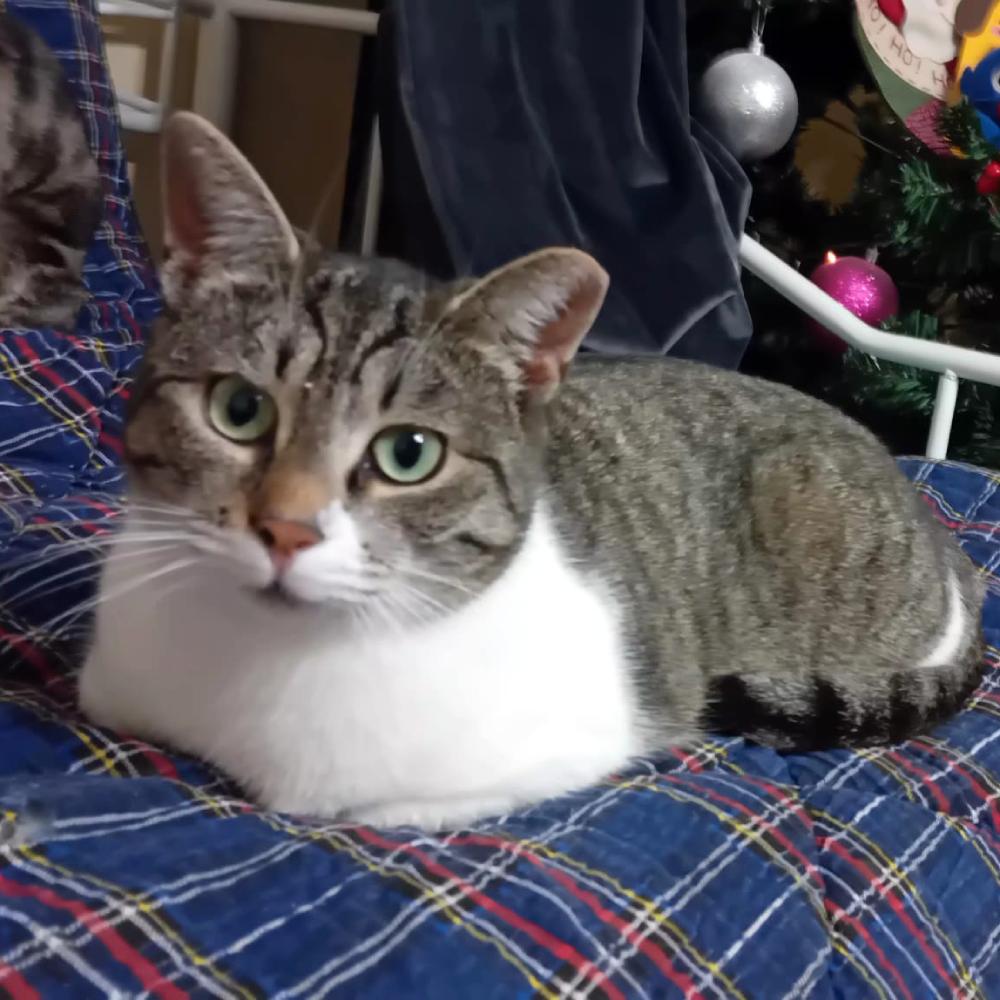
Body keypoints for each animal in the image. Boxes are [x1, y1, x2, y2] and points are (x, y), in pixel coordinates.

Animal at [79, 111, 985, 830]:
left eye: (409, 454)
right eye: (239, 409)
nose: (287, 528)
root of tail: (949, 552)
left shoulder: (546, 750)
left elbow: (390, 807)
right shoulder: (111, 688)